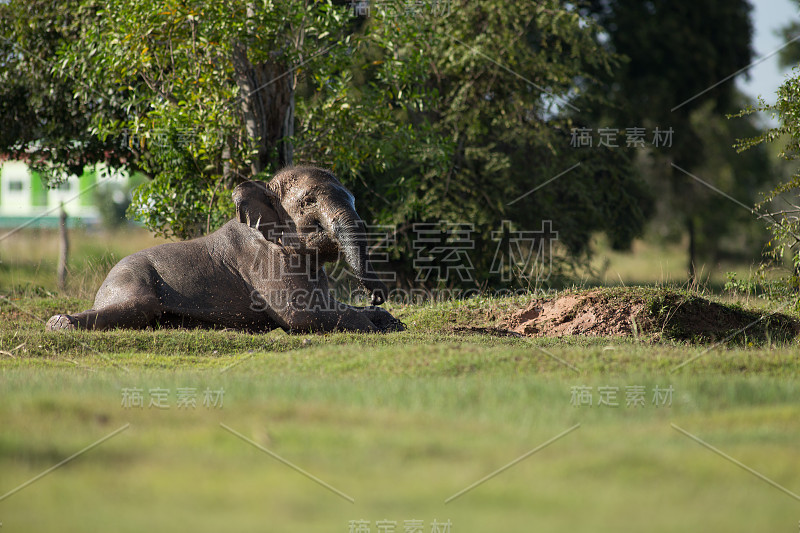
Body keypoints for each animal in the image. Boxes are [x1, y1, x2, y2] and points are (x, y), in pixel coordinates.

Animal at [47, 166, 404, 332]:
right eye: (308, 202)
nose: (376, 293)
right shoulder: (265, 262)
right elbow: (300, 314)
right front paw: (375, 325)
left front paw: (390, 321)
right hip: (131, 279)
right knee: (139, 304)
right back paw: (60, 324)